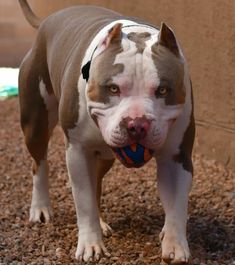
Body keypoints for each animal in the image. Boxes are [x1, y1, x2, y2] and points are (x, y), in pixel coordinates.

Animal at [17, 0, 195, 262]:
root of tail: (47, 21)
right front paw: (91, 245)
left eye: (163, 90)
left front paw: (174, 244)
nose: (137, 124)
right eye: (113, 88)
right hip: (36, 123)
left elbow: (177, 206)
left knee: (97, 183)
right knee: (38, 163)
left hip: (103, 155)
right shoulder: (78, 152)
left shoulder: (177, 157)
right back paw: (40, 208)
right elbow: (84, 203)